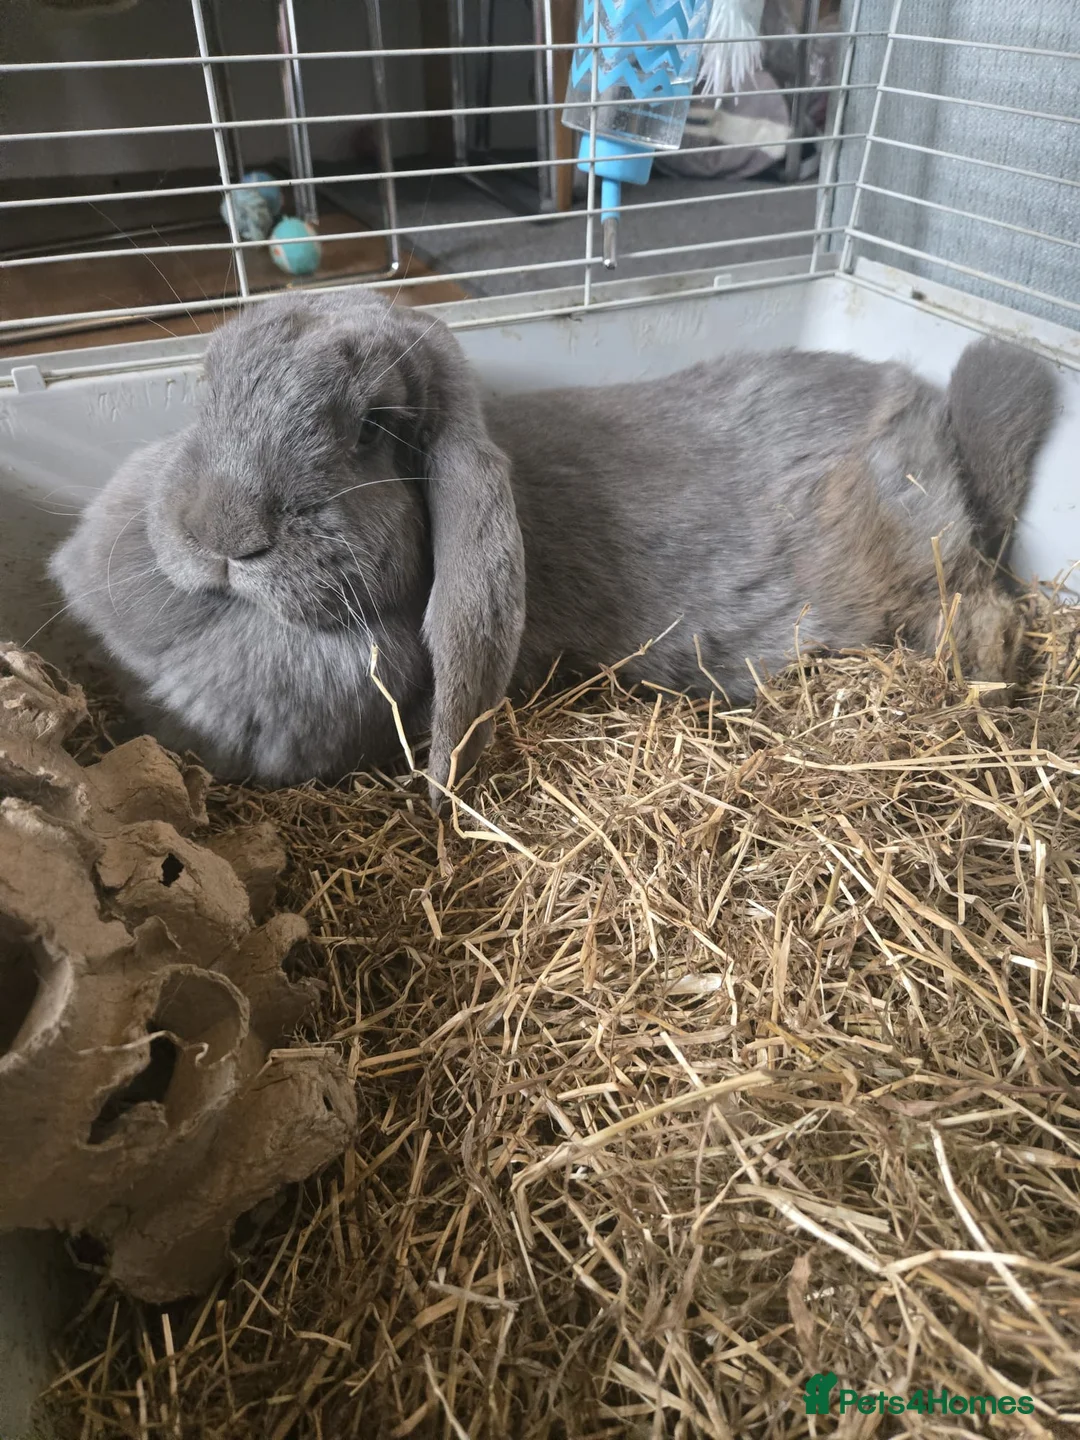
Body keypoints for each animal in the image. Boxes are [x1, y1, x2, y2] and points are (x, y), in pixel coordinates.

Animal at [50, 289, 1059, 805]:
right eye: (209, 387)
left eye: (374, 427)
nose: (221, 534)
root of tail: (929, 410)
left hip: (912, 574)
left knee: (985, 613)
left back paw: (981, 704)